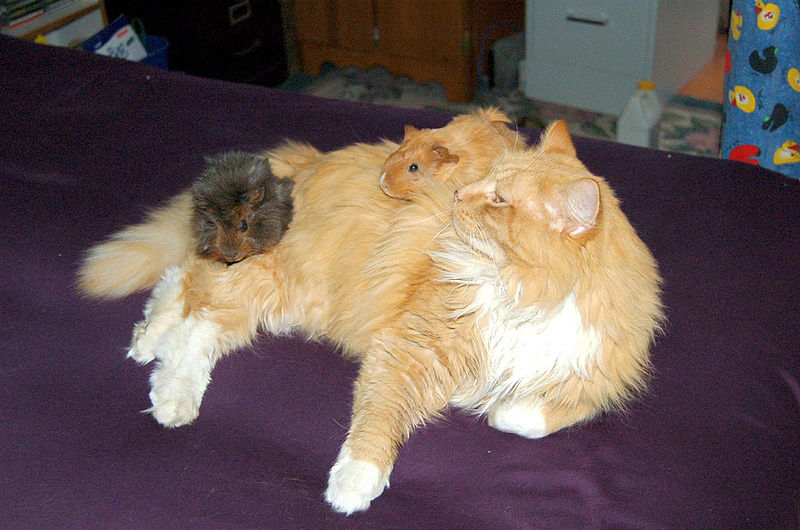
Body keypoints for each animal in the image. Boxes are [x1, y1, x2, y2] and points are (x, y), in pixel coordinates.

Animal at [76, 118, 664, 512]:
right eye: (484, 184)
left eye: (497, 199)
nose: (457, 195)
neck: (527, 296)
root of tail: (297, 166)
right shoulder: (406, 349)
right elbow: (376, 423)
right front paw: (353, 484)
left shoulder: (588, 381)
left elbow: (529, 417)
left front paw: (491, 405)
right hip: (272, 282)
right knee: (193, 322)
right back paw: (169, 392)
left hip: (284, 298)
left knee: (184, 287)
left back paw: (146, 342)